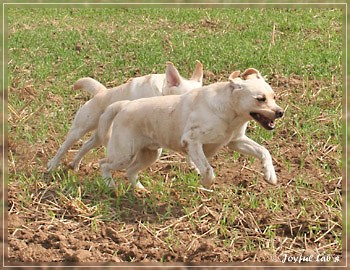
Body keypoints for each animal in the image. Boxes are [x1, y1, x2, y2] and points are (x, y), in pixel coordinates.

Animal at [47, 61, 204, 171]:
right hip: (79, 129)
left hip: (101, 134)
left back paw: (75, 163)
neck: (162, 93)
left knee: (85, 145)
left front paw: (195, 166)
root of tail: (101, 92)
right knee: (63, 147)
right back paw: (52, 165)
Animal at [97, 68, 284, 190]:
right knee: (104, 164)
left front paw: (270, 175)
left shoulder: (236, 141)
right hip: (124, 154)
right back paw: (110, 186)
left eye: (274, 96)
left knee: (130, 171)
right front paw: (204, 184)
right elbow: (208, 170)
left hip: (150, 154)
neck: (229, 113)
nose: (280, 112)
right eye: (260, 99)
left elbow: (263, 151)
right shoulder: (192, 141)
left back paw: (140, 189)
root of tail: (124, 105)